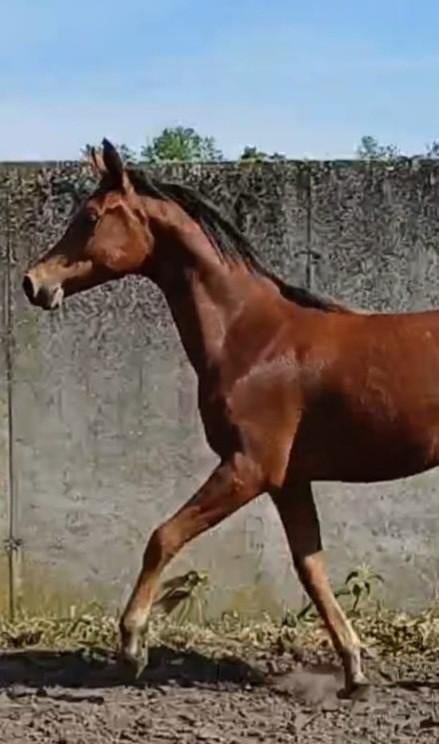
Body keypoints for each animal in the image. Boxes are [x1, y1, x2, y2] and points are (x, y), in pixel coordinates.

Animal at [22, 138, 439, 695]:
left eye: (90, 217)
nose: (33, 283)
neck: (250, 336)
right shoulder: (289, 481)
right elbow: (311, 567)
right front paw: (353, 669)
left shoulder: (248, 468)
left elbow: (163, 537)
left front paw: (132, 647)